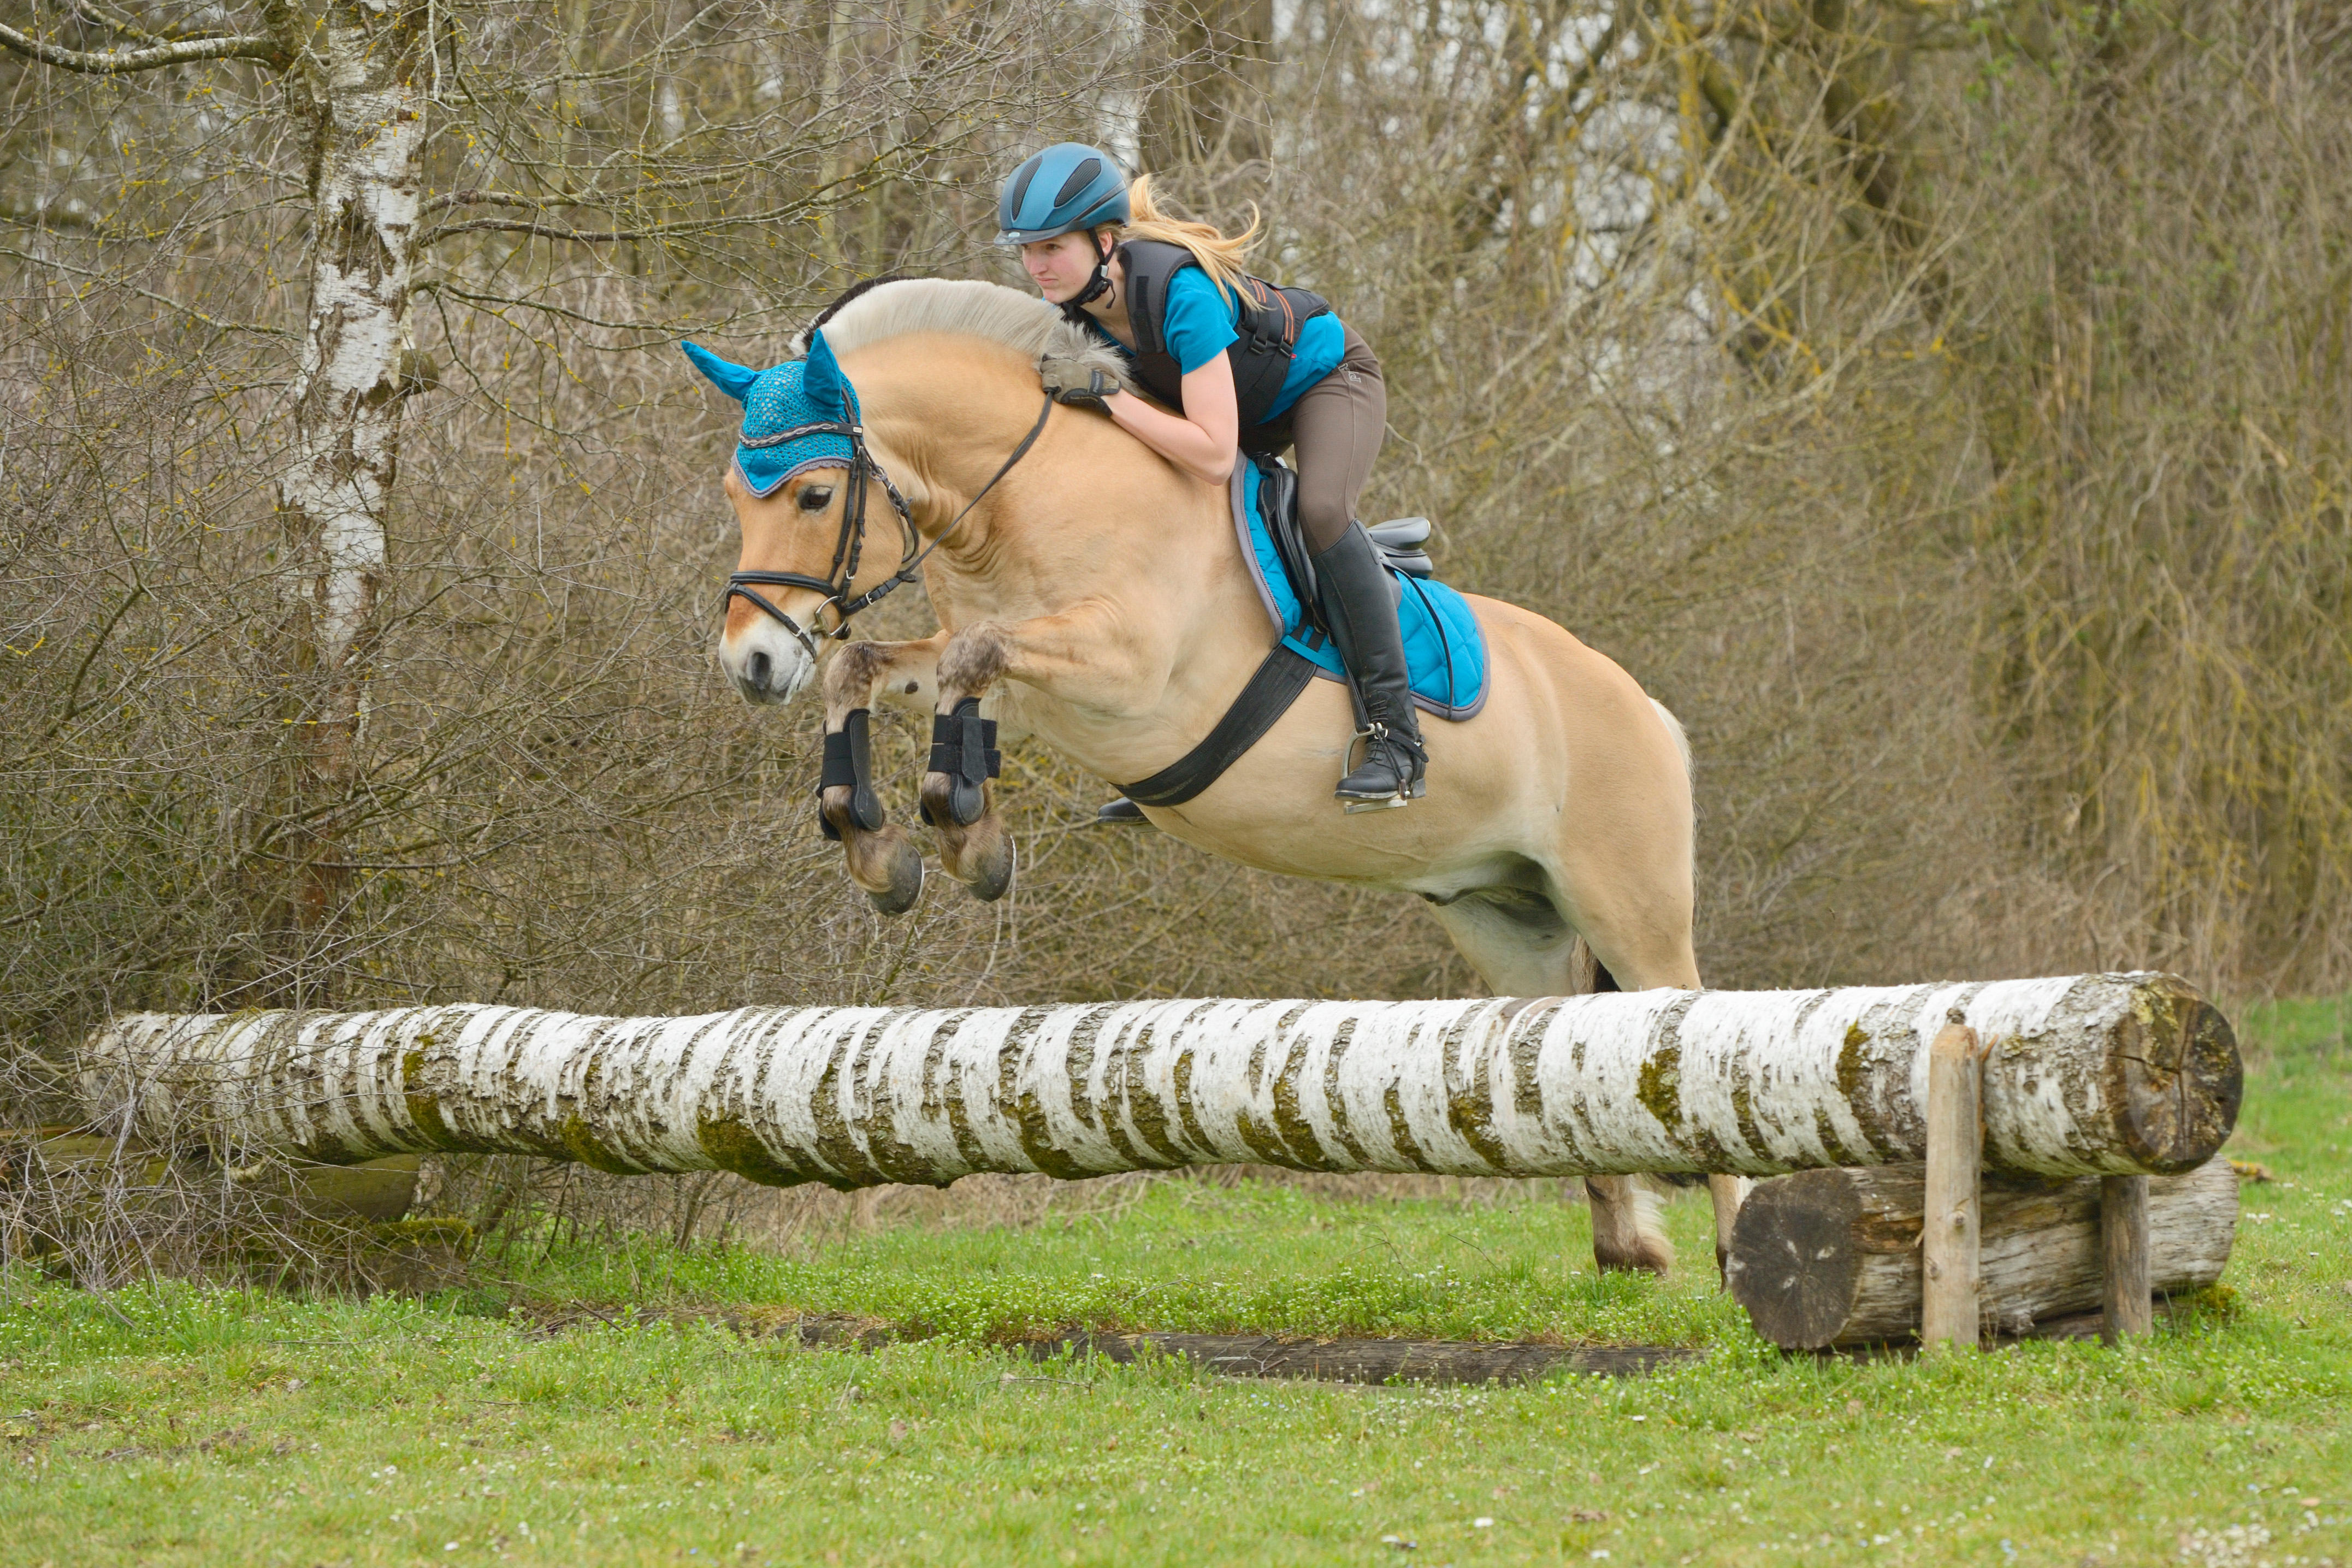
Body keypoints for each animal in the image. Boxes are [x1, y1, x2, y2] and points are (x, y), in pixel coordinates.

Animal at [691, 278, 1746, 1279]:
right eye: (736, 498)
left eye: (812, 498)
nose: (749, 664)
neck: (1028, 495)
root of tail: (1647, 710)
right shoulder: (1017, 686)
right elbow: (871, 667)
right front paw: (882, 845)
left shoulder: (1123, 669)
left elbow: (969, 658)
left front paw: (961, 831)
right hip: (1506, 919)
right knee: (1565, 1039)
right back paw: (1625, 1247)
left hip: (1629, 905)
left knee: (1681, 1030)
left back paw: (1738, 1255)